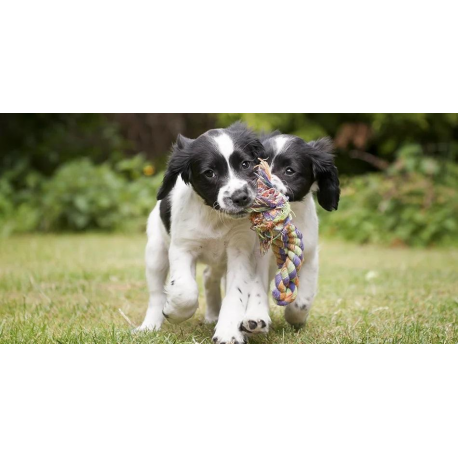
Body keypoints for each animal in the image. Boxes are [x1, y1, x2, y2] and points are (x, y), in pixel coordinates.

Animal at [138, 121, 270, 344]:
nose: (240, 197)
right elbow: (185, 290)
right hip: (155, 252)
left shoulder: (240, 250)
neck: (215, 217)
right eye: (209, 173)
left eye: (245, 164)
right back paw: (149, 326)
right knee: (156, 294)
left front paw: (228, 332)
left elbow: (235, 293)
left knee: (209, 276)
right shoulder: (182, 248)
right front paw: (174, 311)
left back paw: (213, 315)